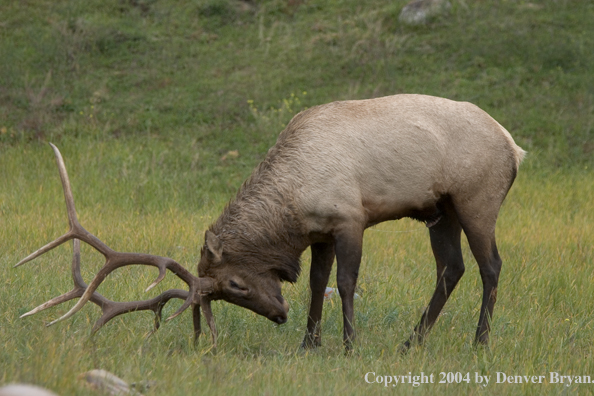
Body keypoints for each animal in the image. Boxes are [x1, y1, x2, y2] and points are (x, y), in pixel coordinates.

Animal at [15, 94, 524, 352]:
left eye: (236, 285)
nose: (280, 316)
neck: (292, 206)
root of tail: (514, 146)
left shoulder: (351, 217)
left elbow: (345, 281)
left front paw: (348, 345)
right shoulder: (320, 232)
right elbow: (317, 282)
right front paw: (308, 344)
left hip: (476, 198)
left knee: (491, 265)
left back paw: (480, 342)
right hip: (439, 210)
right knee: (451, 268)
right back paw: (410, 342)